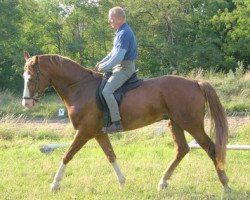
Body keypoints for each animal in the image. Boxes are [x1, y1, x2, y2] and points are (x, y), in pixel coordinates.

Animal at [21, 52, 230, 192]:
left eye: (30, 78)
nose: (26, 103)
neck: (80, 87)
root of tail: (195, 82)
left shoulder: (85, 131)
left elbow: (67, 155)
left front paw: (55, 184)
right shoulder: (98, 132)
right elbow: (111, 155)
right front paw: (122, 182)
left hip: (191, 124)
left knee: (211, 149)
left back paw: (225, 185)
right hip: (176, 123)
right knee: (182, 150)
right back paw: (163, 182)